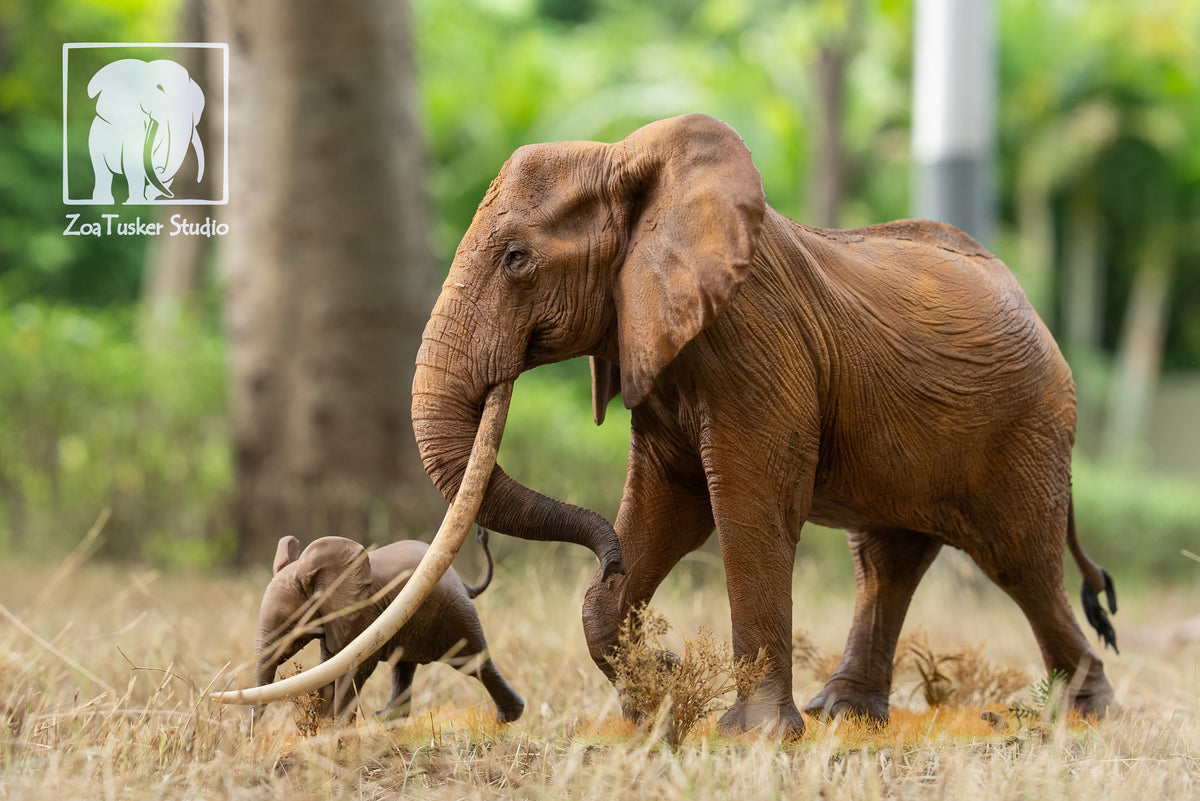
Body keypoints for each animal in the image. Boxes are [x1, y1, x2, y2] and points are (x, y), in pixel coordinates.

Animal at [254, 528, 525, 724]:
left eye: (290, 625)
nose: (250, 739)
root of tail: (461, 581)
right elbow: (329, 665)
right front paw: (322, 727)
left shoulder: (363, 615)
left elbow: (355, 669)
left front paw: (335, 730)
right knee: (403, 667)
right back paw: (386, 719)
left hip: (455, 614)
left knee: (472, 663)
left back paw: (508, 718)